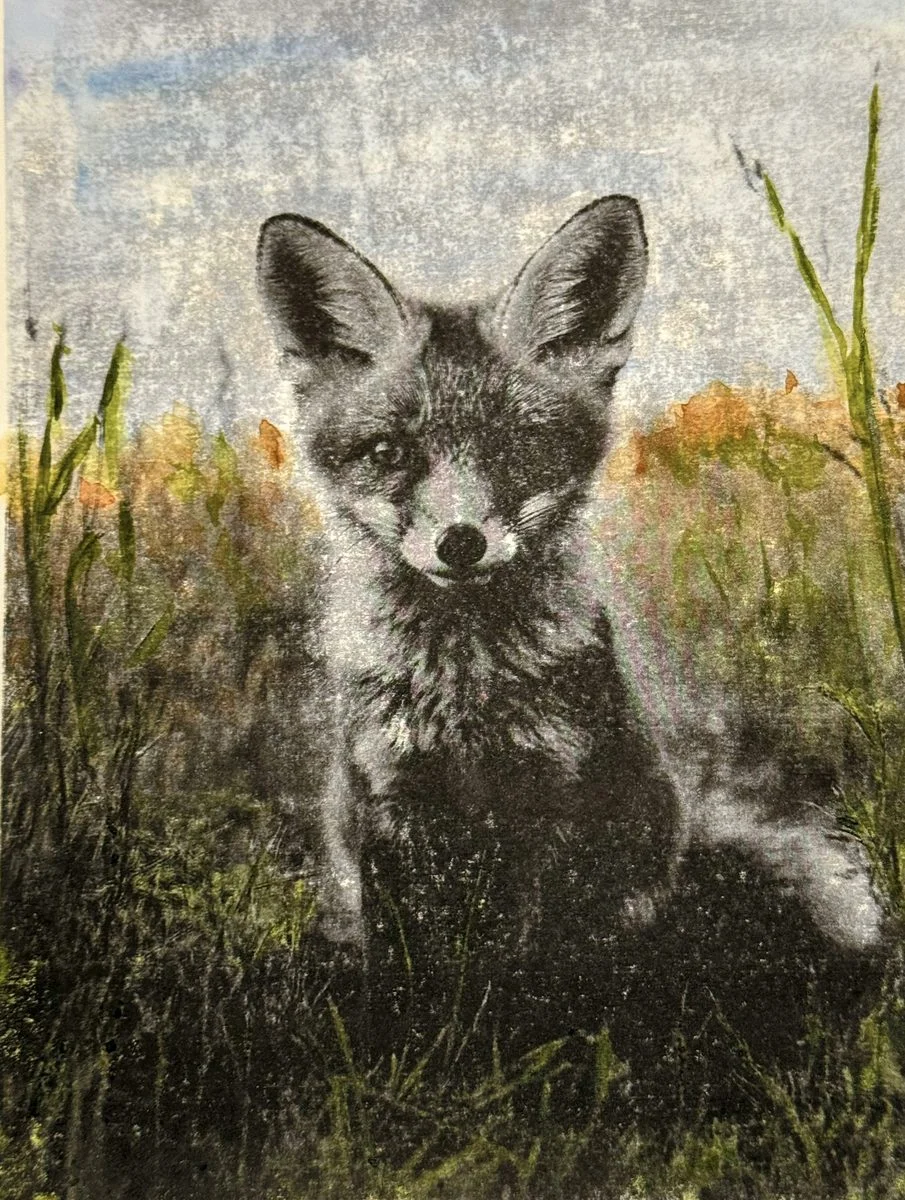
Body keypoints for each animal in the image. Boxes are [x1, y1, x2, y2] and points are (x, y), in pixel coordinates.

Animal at [256, 196, 884, 1112]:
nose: (459, 541)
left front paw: (526, 1074)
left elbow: (535, 967)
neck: (467, 695)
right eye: (390, 454)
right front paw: (415, 1070)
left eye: (514, 447)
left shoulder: (558, 808)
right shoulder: (390, 808)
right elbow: (412, 972)